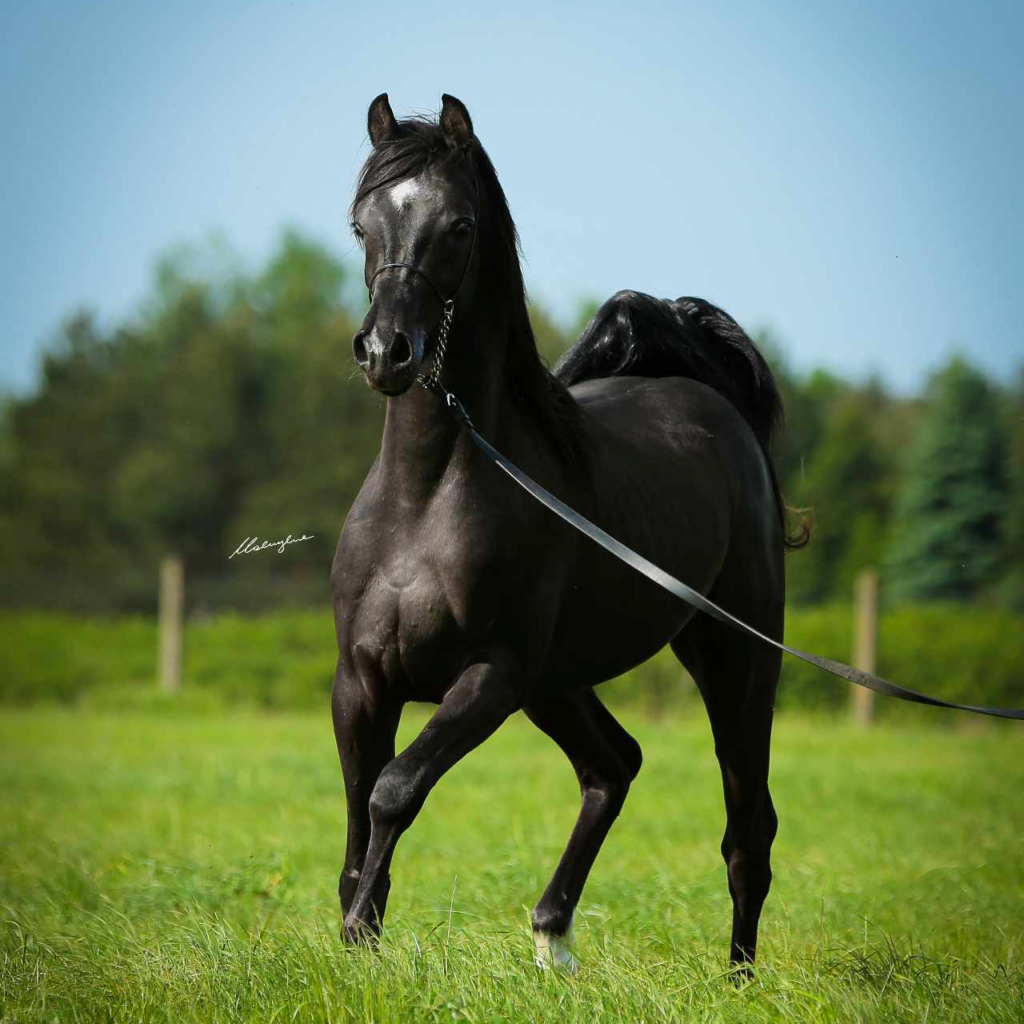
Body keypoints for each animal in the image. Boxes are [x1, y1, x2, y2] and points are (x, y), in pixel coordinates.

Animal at [331, 92, 806, 972]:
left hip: (735, 662)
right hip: (561, 685)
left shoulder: (490, 677)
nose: (386, 352)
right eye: (360, 225)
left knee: (747, 829)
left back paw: (738, 978)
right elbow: (356, 810)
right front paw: (358, 939)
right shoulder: (361, 682)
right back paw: (552, 936)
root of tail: (710, 402)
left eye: (458, 226)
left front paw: (358, 934)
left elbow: (393, 791)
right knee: (614, 765)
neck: (425, 499)